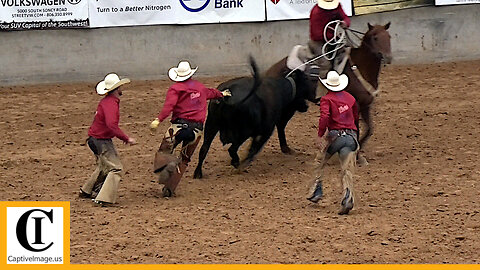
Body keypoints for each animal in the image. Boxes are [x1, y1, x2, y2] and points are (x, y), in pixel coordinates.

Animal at [264, 23, 392, 158]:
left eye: (389, 36)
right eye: (375, 38)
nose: (388, 57)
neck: (361, 67)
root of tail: (271, 71)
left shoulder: (365, 105)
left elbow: (369, 129)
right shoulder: (355, 106)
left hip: (292, 106)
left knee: (281, 124)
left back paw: (286, 149)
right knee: (280, 123)